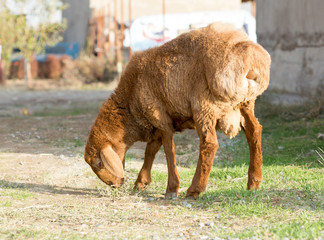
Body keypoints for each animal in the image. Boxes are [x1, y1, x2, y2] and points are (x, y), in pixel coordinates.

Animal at [84, 22, 270, 199]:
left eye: (98, 163)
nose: (115, 184)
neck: (129, 104)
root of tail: (250, 58)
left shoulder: (159, 117)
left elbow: (168, 150)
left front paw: (172, 189)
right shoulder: (156, 124)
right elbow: (151, 150)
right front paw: (140, 183)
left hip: (204, 105)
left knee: (209, 144)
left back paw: (195, 190)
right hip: (245, 103)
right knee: (254, 131)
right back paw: (254, 182)